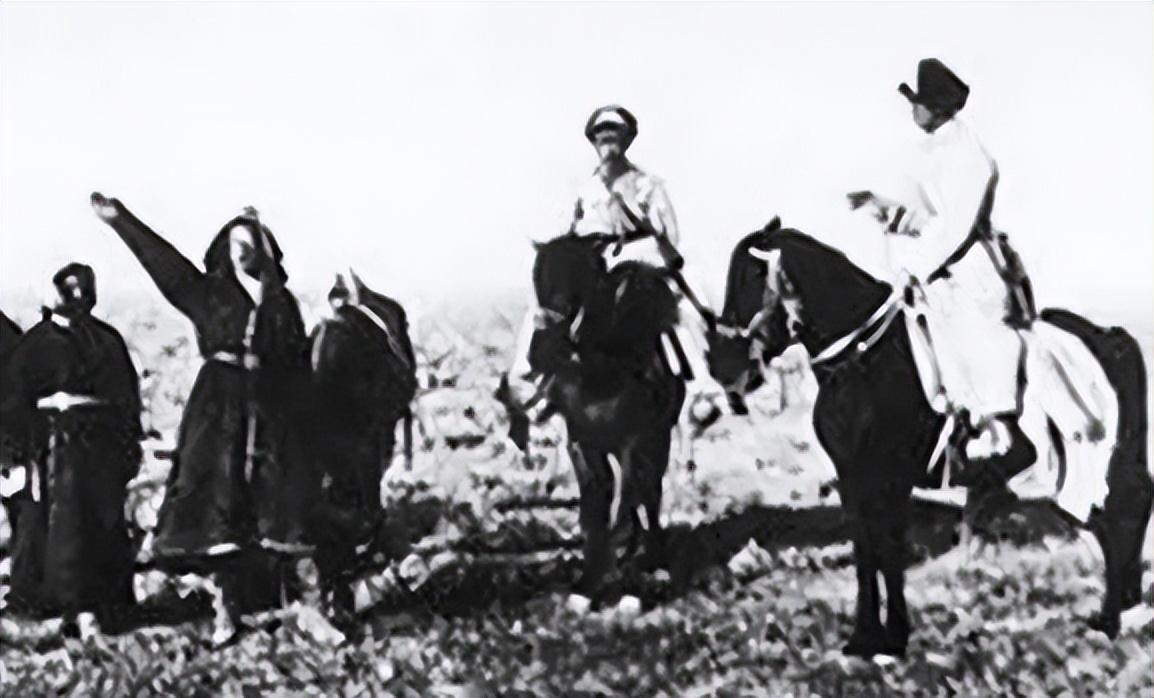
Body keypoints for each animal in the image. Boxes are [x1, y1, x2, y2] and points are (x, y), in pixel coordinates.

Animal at [519, 234, 686, 596]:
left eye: (587, 272)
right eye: (537, 274)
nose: (543, 346)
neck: (599, 375)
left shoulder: (634, 443)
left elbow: (629, 499)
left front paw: (625, 565)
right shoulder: (582, 443)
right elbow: (595, 503)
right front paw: (591, 574)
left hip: (656, 443)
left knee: (649, 493)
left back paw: (650, 552)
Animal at [706, 220, 1153, 656]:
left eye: (752, 277)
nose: (723, 366)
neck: (866, 365)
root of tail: (1110, 336)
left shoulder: (891, 479)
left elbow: (888, 550)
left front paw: (893, 635)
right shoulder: (854, 479)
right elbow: (866, 550)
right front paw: (865, 637)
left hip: (1096, 458)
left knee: (1121, 515)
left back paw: (1110, 619)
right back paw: (1116, 612)